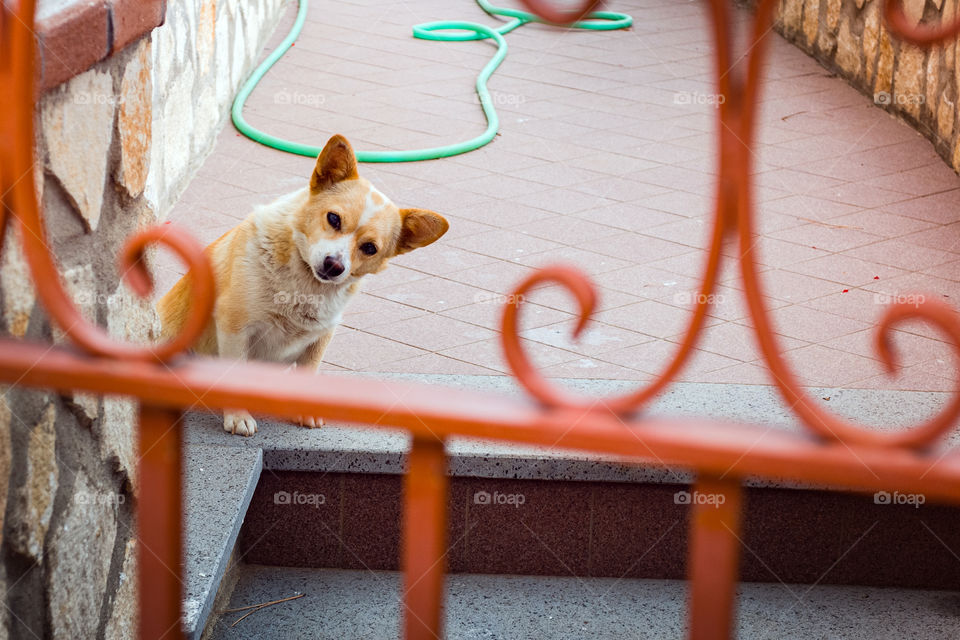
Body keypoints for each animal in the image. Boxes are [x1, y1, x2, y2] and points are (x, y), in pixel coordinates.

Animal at [158, 135, 450, 436]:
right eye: (333, 218)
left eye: (370, 248)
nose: (334, 266)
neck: (305, 284)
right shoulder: (235, 327)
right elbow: (235, 374)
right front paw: (238, 416)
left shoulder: (320, 337)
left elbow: (309, 372)